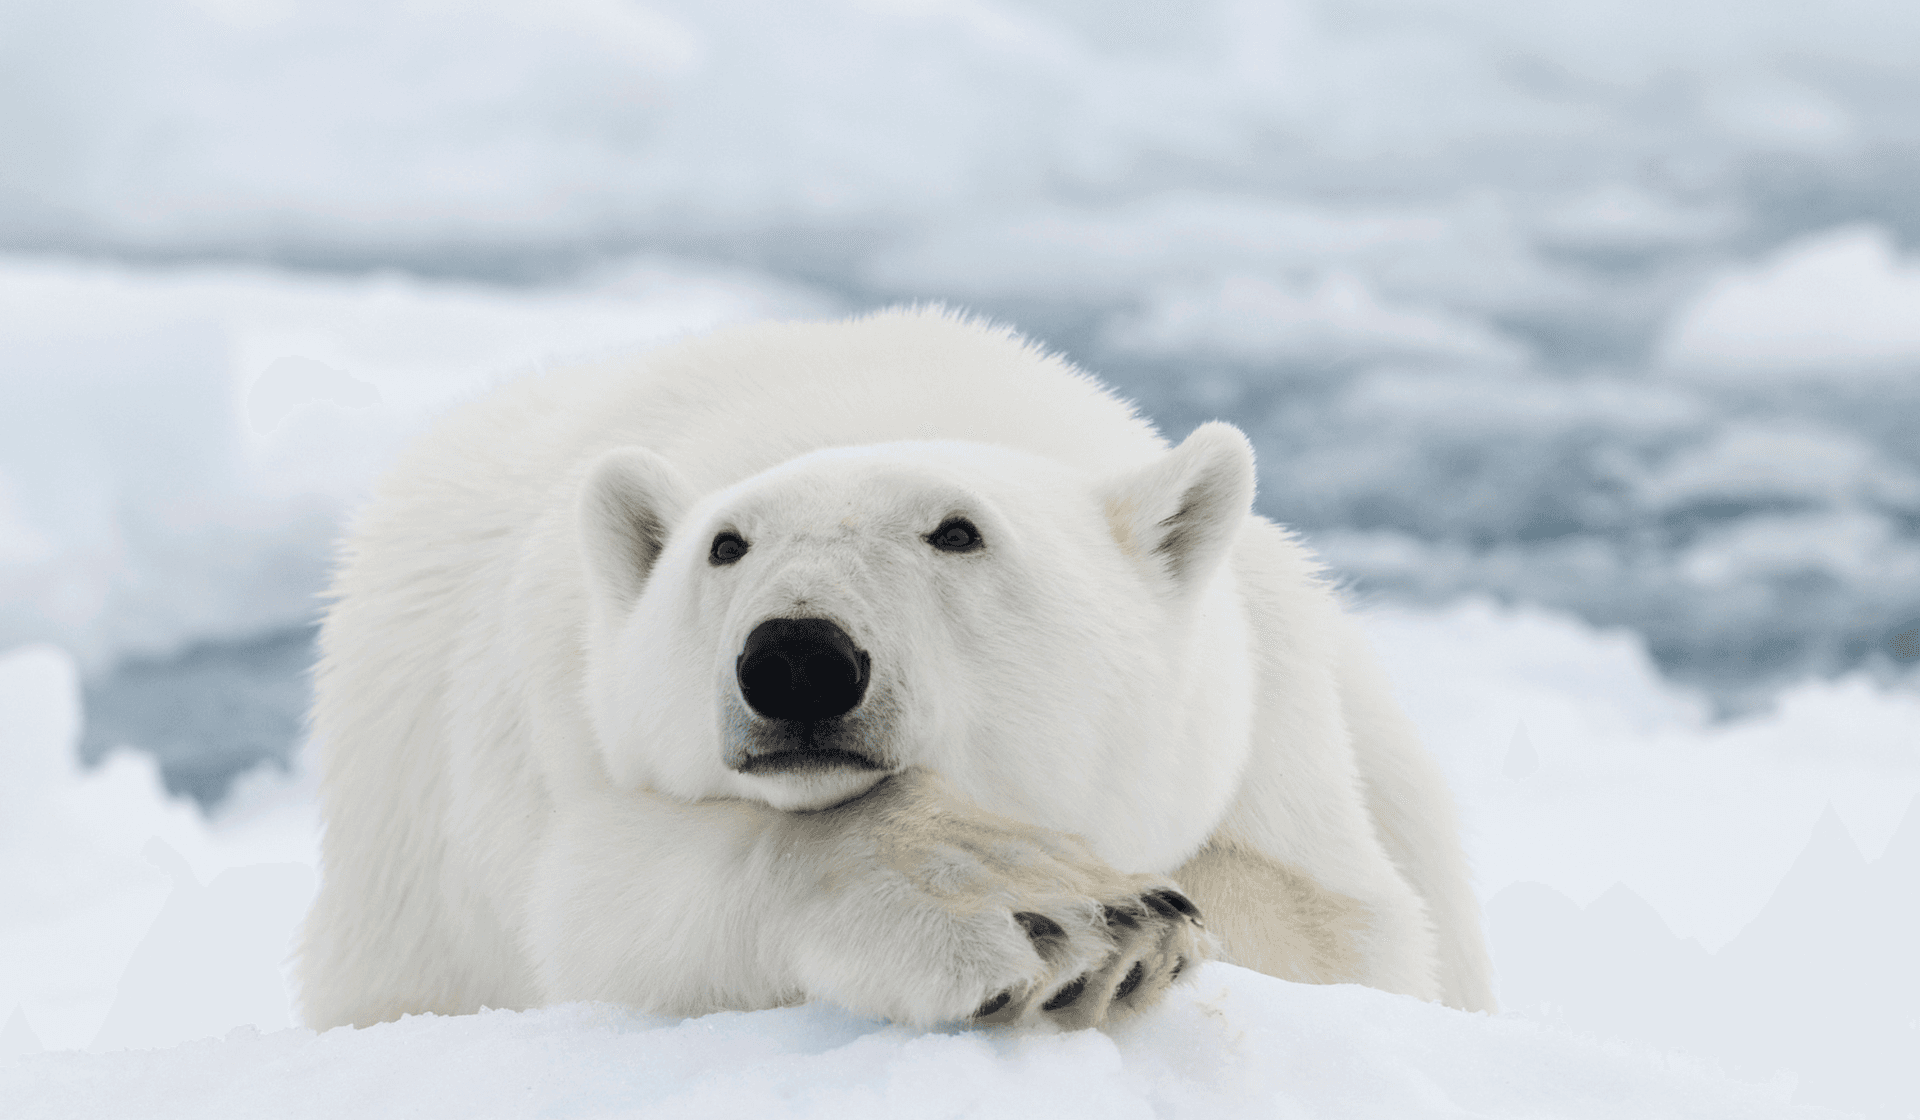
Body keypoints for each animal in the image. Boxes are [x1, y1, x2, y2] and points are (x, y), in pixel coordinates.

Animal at [298, 306, 1495, 1030]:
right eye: (725, 544)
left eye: (957, 532)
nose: (797, 659)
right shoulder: (562, 737)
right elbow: (605, 896)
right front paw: (1060, 916)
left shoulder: (1268, 721)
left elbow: (1341, 925)